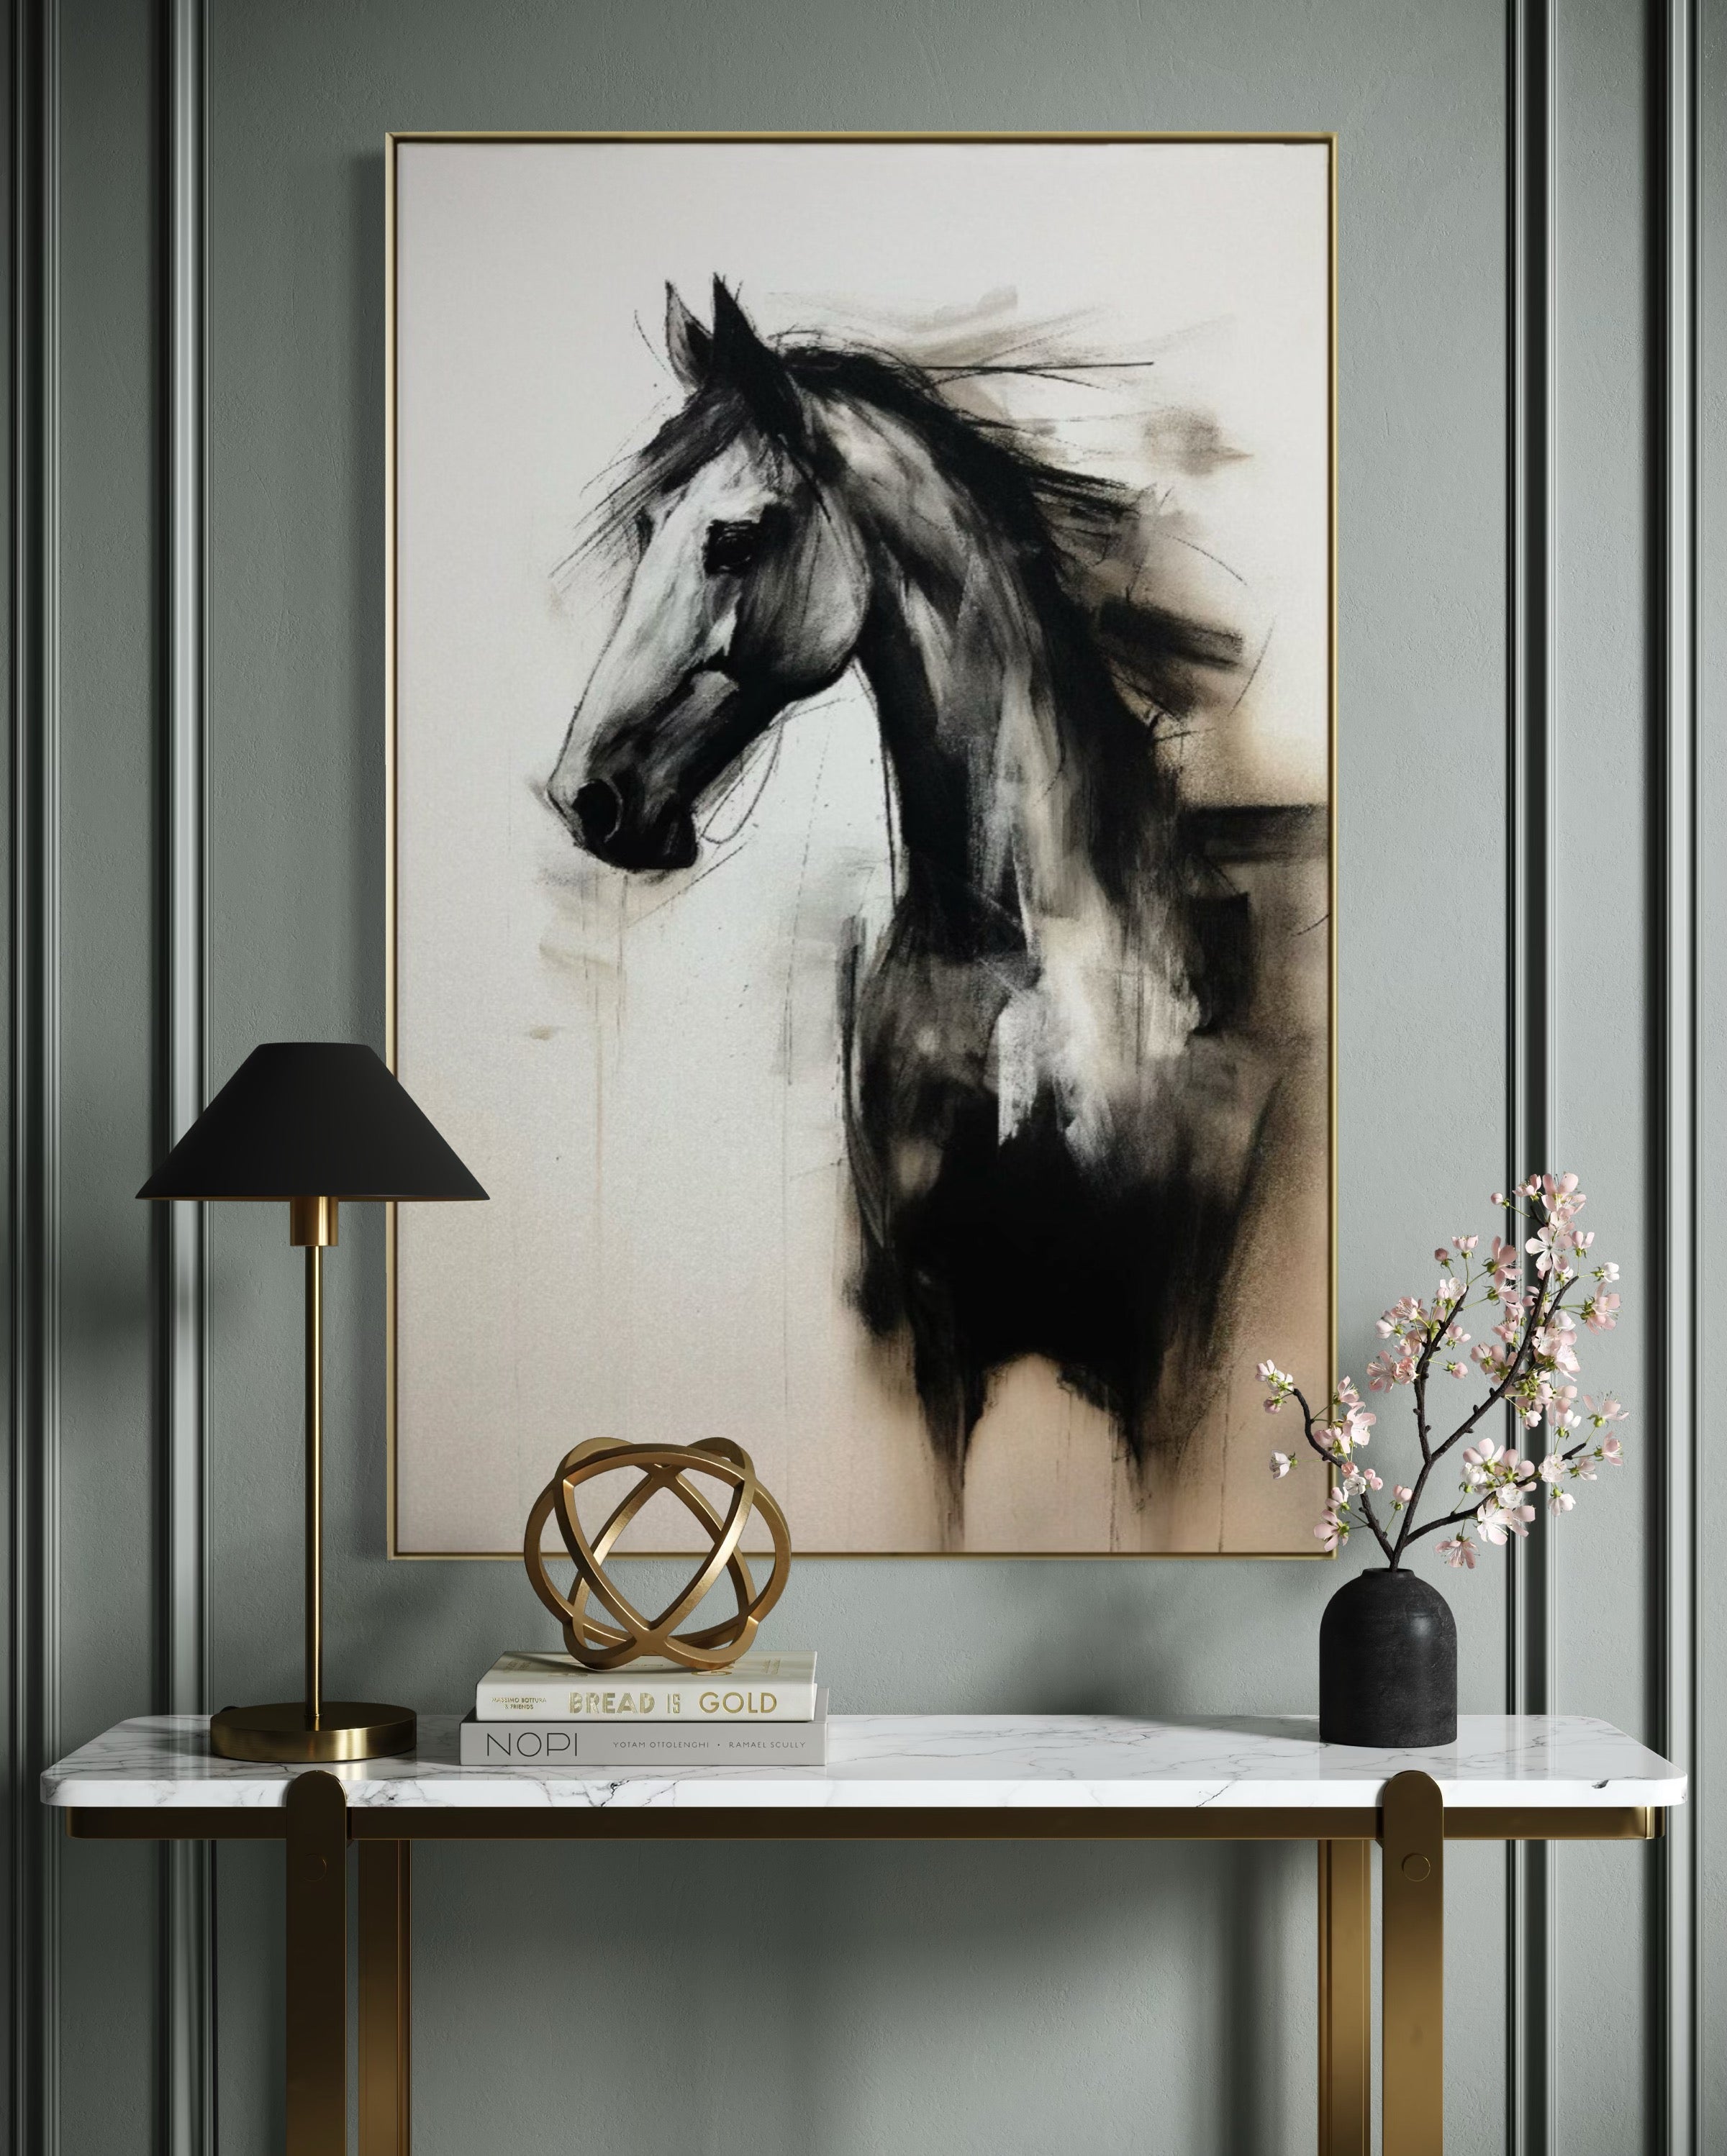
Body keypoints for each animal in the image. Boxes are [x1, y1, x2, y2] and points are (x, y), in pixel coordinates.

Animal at [547, 276, 1298, 1510]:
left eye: (735, 536)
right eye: (650, 527)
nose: (589, 799)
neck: (1025, 961)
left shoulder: (1160, 1353)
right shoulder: (940, 1342)